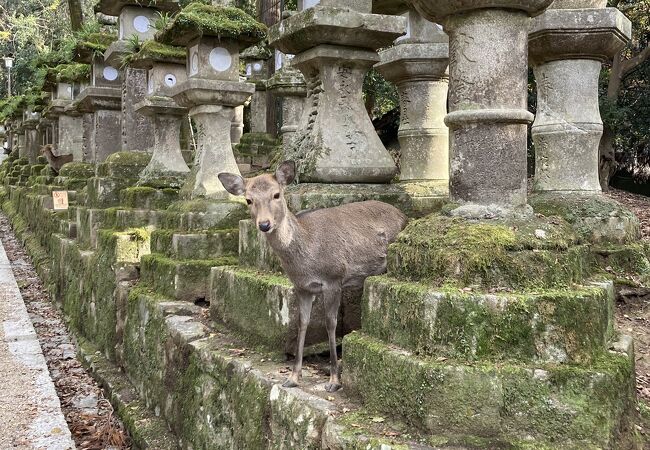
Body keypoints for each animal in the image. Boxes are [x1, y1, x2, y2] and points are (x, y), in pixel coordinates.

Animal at [218, 161, 404, 390]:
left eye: (277, 194)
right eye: (248, 199)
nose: (264, 224)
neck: (306, 258)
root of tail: (404, 216)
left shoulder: (334, 278)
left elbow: (330, 323)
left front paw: (334, 380)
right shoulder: (302, 287)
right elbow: (302, 323)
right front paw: (292, 377)